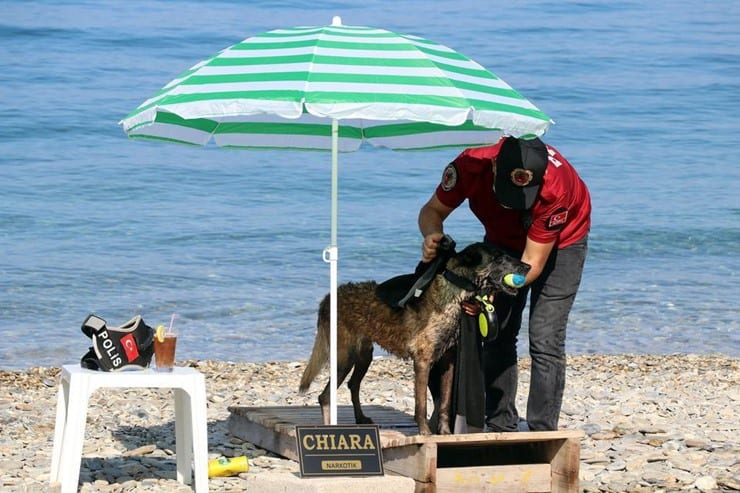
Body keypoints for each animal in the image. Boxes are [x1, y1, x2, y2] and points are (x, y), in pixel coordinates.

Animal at [298, 241, 528, 434]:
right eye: (498, 257)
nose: (527, 267)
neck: (453, 293)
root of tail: (327, 298)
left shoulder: (449, 362)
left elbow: (444, 405)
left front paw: (445, 434)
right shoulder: (423, 362)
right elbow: (422, 405)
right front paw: (425, 433)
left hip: (363, 356)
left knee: (353, 385)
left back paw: (361, 418)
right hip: (344, 358)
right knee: (325, 397)